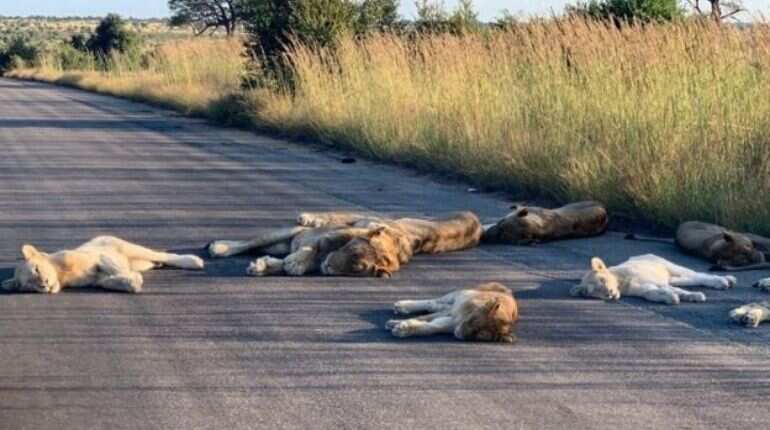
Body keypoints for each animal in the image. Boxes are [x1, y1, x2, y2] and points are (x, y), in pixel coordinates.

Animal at [1, 236, 204, 294]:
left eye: (36, 269)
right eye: (30, 285)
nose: (43, 285)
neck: (61, 276)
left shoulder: (97, 256)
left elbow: (109, 266)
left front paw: (131, 278)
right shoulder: (94, 280)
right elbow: (106, 282)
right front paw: (131, 282)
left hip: (128, 248)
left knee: (163, 254)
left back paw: (194, 261)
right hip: (140, 262)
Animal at [386, 282, 519, 343]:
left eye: (478, 336)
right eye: (474, 323)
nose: (461, 334)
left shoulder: (449, 323)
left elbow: (428, 327)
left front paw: (402, 328)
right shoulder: (451, 314)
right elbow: (424, 318)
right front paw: (394, 324)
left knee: (436, 305)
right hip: (457, 295)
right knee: (432, 302)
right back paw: (402, 305)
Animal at [570, 254, 736, 305]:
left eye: (603, 280)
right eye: (596, 291)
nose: (609, 293)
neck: (621, 284)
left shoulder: (654, 281)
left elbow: (677, 290)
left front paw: (695, 296)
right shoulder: (644, 289)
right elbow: (653, 293)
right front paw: (670, 298)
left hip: (669, 266)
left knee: (698, 275)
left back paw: (725, 281)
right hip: (673, 277)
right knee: (690, 279)